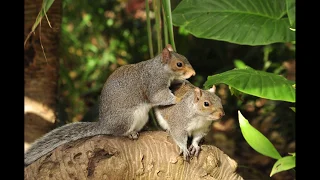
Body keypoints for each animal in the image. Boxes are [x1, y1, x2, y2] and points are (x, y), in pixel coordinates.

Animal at [24, 44, 195, 167]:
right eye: (179, 64)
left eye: (185, 58)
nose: (193, 74)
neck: (159, 68)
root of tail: (105, 124)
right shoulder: (154, 84)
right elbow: (159, 97)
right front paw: (179, 98)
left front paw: (183, 82)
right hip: (127, 117)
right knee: (118, 133)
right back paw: (130, 134)